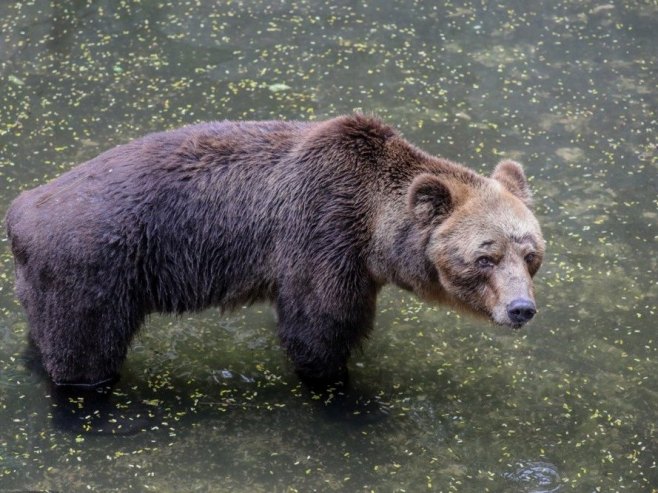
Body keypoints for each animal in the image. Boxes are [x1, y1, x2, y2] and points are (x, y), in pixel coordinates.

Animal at [2, 115, 540, 388]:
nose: (521, 308)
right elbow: (319, 327)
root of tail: (20, 210)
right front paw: (336, 385)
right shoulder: (323, 233)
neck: (373, 229)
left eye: (531, 254)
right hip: (93, 269)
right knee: (83, 351)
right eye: (486, 256)